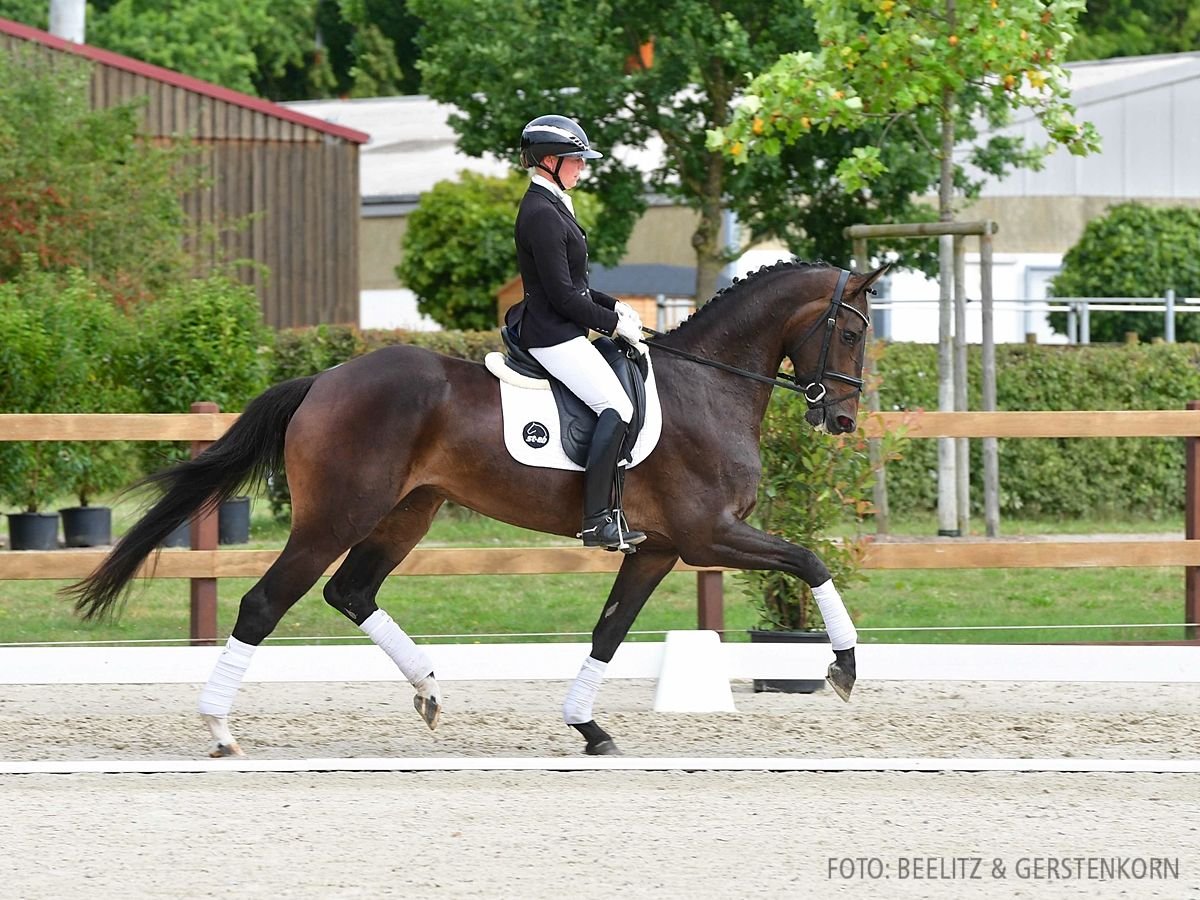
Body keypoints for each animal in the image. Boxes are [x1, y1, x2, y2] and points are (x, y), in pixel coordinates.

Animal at [70, 259, 888, 753]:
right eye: (852, 331)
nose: (843, 420)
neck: (709, 385)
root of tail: (324, 380)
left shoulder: (659, 546)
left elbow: (610, 629)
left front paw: (588, 727)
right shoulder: (708, 534)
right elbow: (810, 560)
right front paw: (844, 667)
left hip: (408, 512)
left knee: (351, 591)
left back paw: (430, 691)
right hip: (336, 516)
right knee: (266, 603)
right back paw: (220, 730)